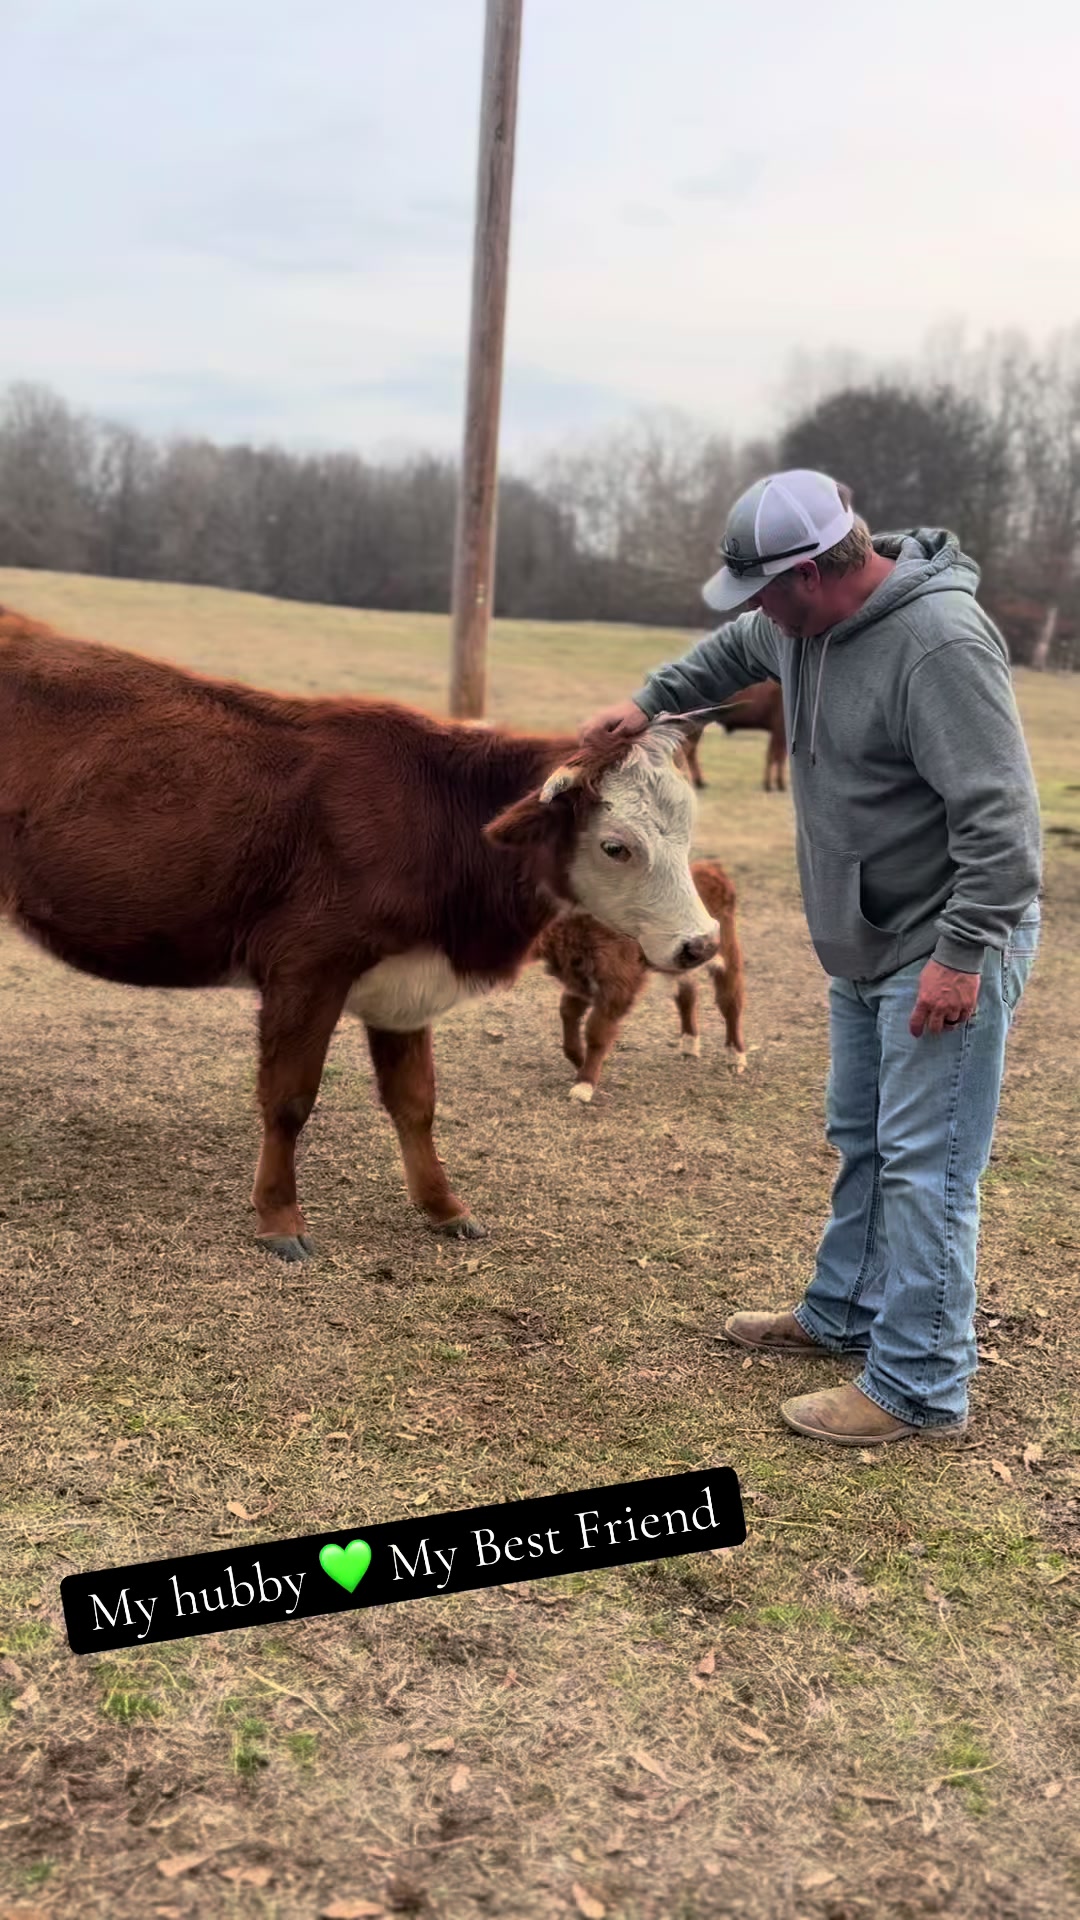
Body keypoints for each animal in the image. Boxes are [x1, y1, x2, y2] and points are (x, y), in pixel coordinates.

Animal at [0, 608, 719, 1260]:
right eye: (615, 846)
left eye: (687, 829)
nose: (701, 943)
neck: (437, 816)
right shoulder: (306, 969)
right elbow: (289, 1099)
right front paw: (280, 1218)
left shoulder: (407, 983)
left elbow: (416, 1102)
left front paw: (444, 1207)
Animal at [536, 858, 746, 1102]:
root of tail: (708, 868)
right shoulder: (580, 979)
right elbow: (568, 1013)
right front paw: (581, 1063)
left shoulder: (617, 982)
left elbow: (597, 1030)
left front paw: (584, 1084)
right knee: (687, 993)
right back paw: (689, 1045)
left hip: (727, 952)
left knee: (730, 1001)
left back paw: (735, 1056)